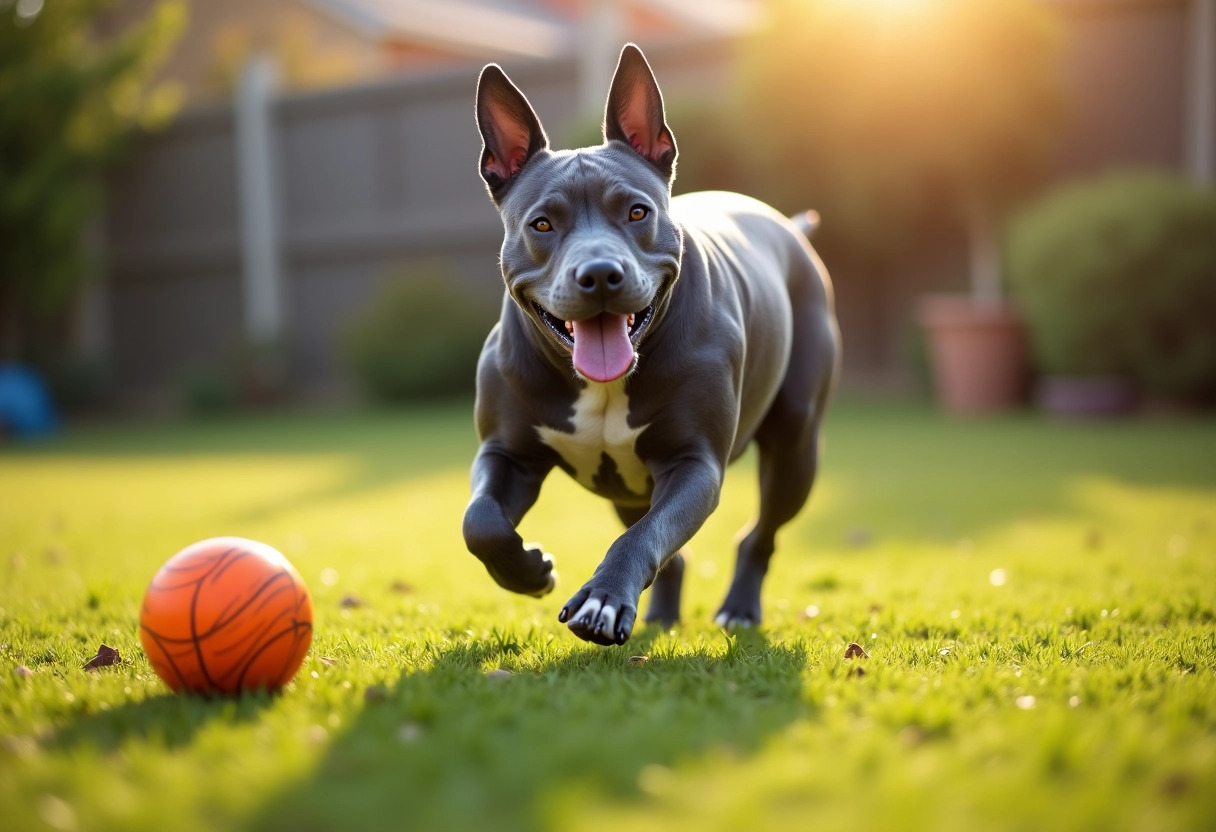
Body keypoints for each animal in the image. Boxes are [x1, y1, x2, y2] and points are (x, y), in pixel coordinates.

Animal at [459, 42, 841, 647]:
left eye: (637, 211)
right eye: (542, 224)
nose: (599, 274)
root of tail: (787, 225)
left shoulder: (693, 464)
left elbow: (644, 536)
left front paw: (603, 600)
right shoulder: (506, 454)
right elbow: (480, 522)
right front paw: (528, 570)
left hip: (795, 448)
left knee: (758, 532)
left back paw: (739, 608)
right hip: (625, 490)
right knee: (668, 548)